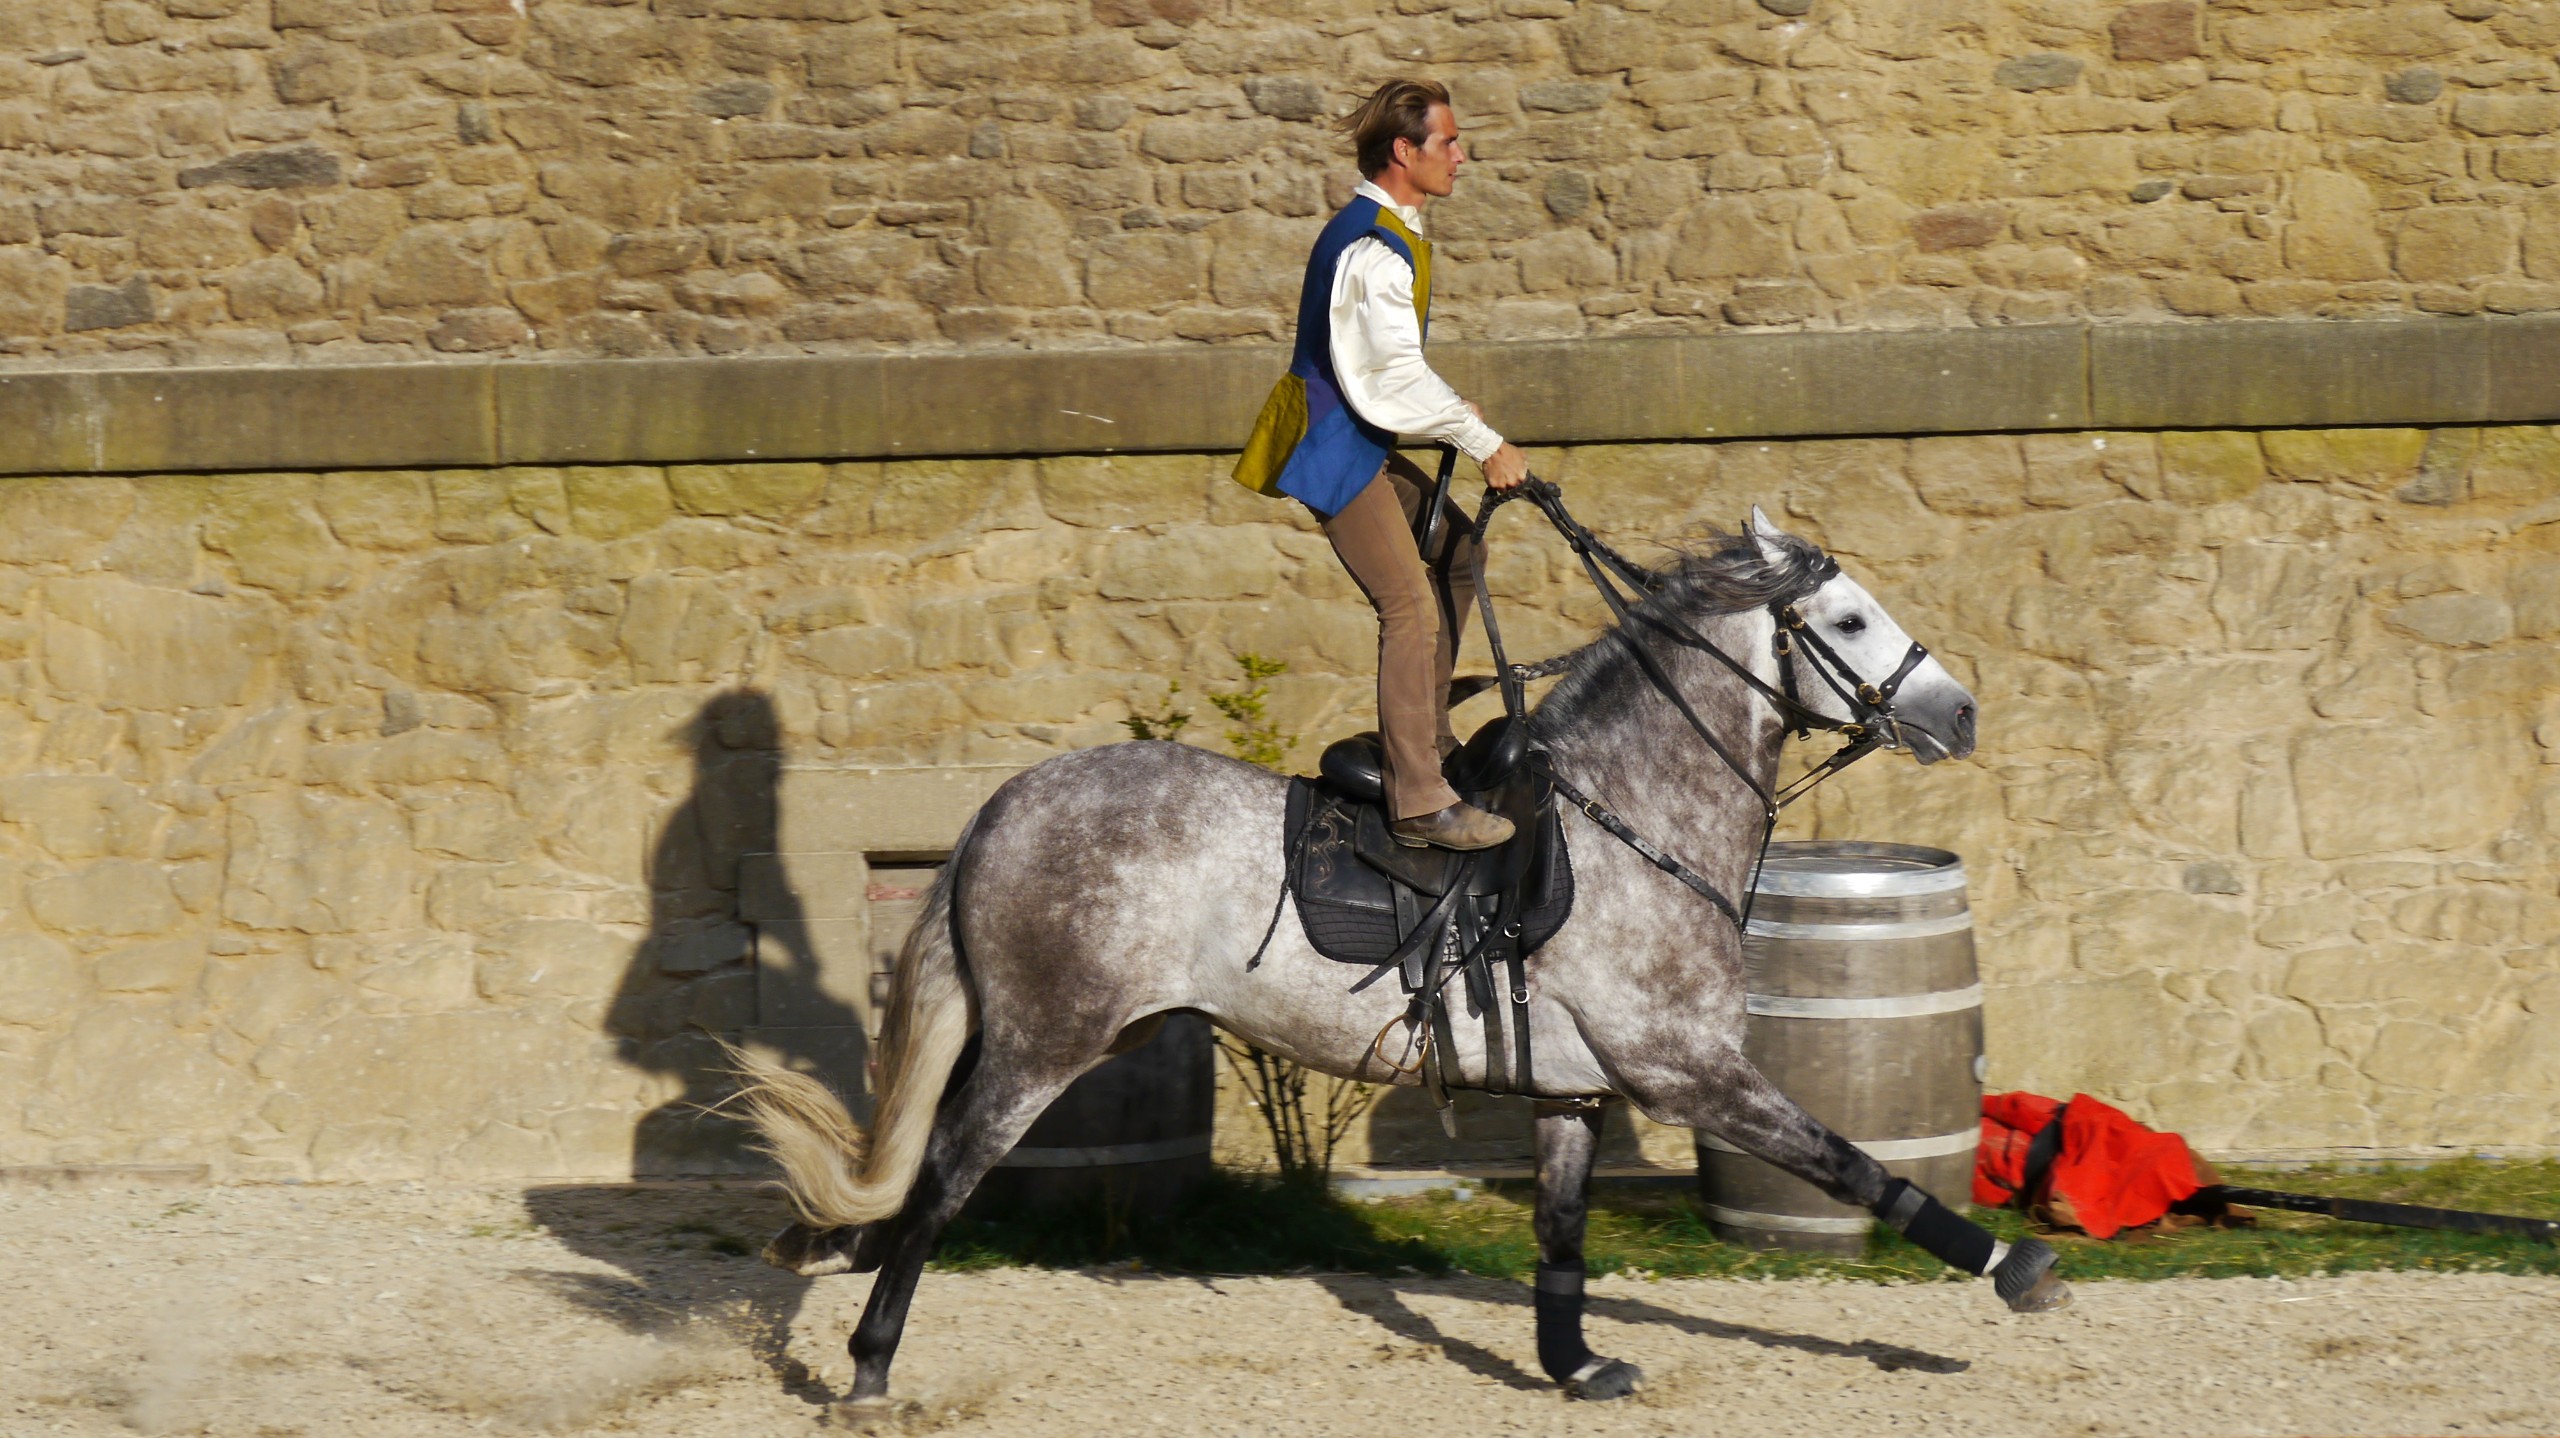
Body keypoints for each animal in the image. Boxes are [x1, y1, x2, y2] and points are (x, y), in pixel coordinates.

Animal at [729, 504, 2069, 1408]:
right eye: (1844, 619)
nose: (1959, 712)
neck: (1633, 818)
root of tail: (999, 807)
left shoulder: (1575, 1090)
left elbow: (1561, 1238)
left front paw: (1574, 1364)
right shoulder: (1688, 1070)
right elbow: (1854, 1165)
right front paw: (2016, 1266)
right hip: (1039, 1044)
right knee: (941, 1175)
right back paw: (869, 1366)